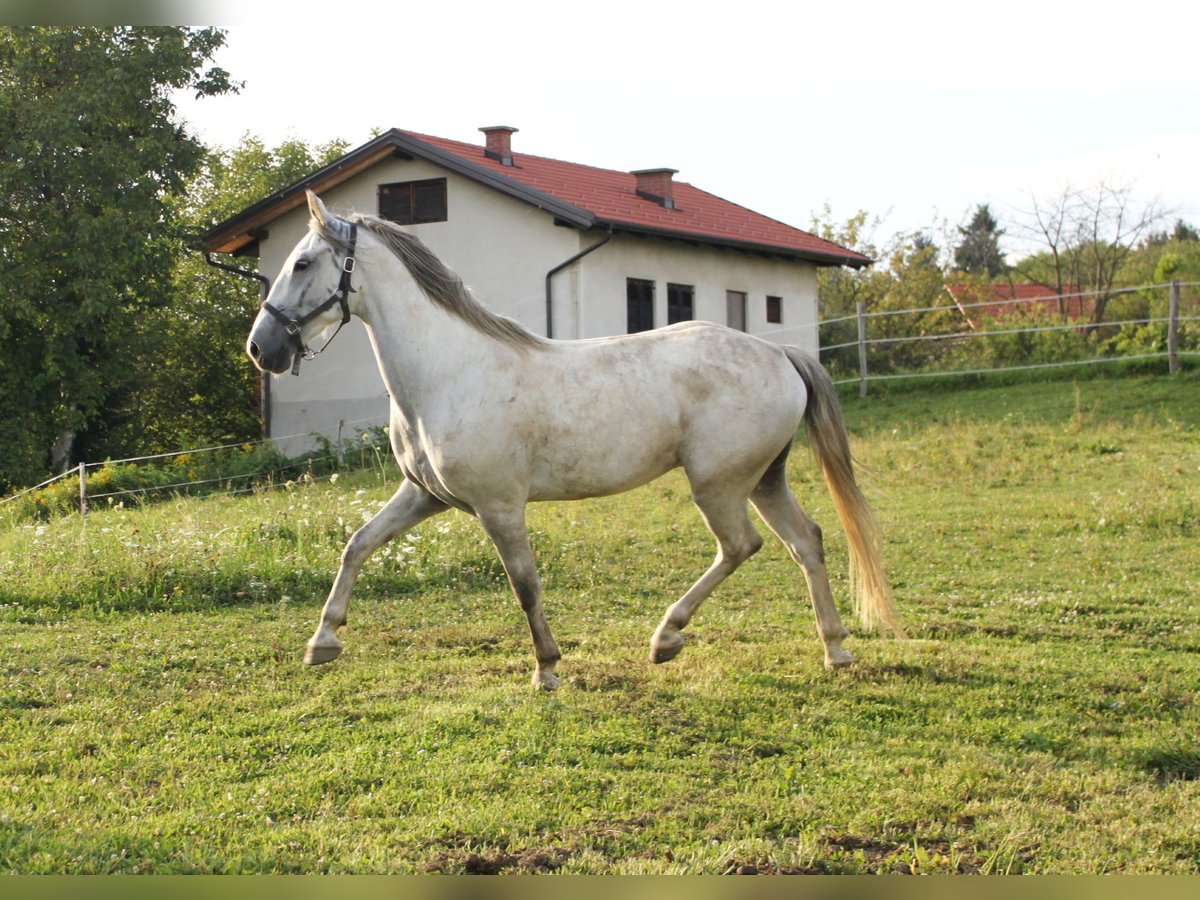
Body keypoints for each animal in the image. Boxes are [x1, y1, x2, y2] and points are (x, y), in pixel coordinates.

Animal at [246, 192, 902, 691]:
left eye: (303, 264)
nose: (261, 349)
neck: (449, 372)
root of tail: (780, 353)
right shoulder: (424, 495)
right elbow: (357, 546)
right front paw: (322, 642)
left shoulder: (500, 506)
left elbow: (525, 585)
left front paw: (547, 670)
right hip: (764, 479)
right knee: (806, 541)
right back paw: (836, 649)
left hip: (719, 484)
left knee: (742, 546)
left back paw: (666, 638)